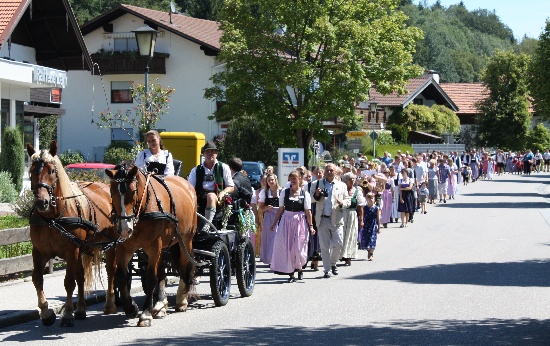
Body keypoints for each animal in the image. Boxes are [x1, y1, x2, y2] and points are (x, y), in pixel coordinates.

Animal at [27, 141, 118, 328]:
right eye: (31, 171)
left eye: (52, 171)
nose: (41, 202)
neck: (52, 218)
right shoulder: (39, 252)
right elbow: (37, 279)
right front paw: (46, 312)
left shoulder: (71, 251)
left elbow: (69, 282)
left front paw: (68, 313)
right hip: (83, 249)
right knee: (81, 277)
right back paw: (81, 309)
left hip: (110, 245)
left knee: (111, 271)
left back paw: (109, 304)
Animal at [104, 162, 197, 328]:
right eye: (112, 191)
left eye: (133, 191)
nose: (125, 228)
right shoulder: (124, 247)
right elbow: (121, 276)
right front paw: (131, 307)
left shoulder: (154, 246)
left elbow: (150, 278)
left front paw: (145, 314)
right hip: (164, 247)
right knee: (162, 271)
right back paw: (161, 305)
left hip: (185, 240)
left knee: (185, 266)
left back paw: (181, 300)